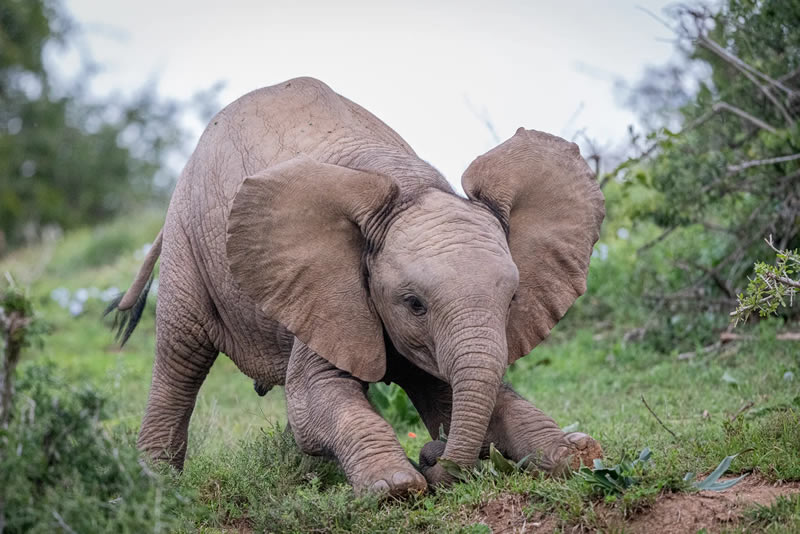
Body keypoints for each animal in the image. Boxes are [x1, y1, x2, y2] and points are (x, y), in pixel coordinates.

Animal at [108, 76, 608, 498]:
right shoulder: (329, 288)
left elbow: (463, 389)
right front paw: (396, 487)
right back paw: (157, 485)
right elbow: (313, 398)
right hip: (185, 244)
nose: (432, 454)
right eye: (414, 304)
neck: (411, 188)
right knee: (181, 355)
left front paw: (576, 454)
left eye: (512, 300)